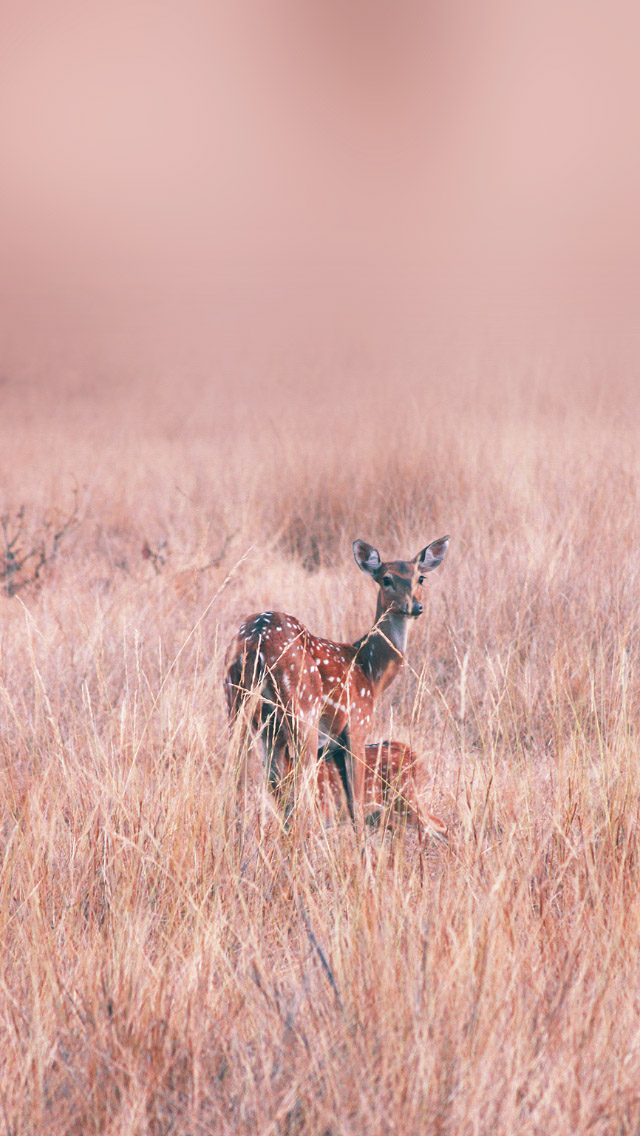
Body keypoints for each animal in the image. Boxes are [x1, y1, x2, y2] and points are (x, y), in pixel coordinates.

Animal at [224, 536, 449, 827]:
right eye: (386, 579)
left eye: (420, 578)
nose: (415, 607)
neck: (370, 670)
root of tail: (257, 639)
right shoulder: (357, 723)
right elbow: (356, 802)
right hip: (302, 709)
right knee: (300, 782)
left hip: (239, 705)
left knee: (240, 770)